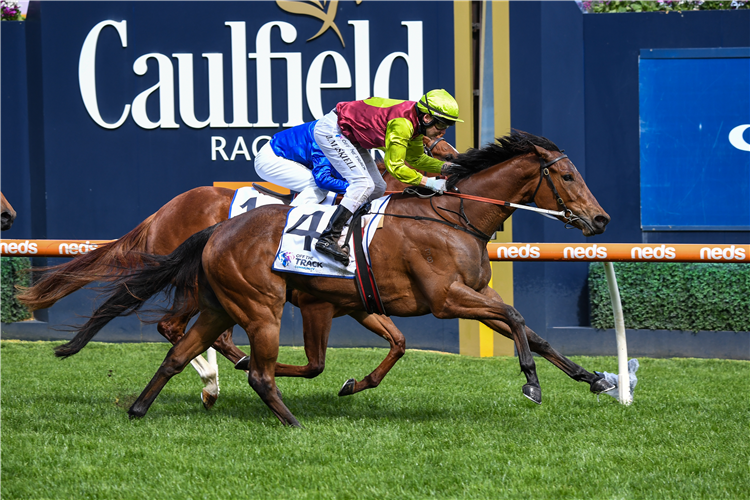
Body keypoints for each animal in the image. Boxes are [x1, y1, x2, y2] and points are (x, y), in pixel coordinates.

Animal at [61, 130, 612, 426]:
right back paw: (257, 395)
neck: (454, 216)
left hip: (220, 300)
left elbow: (533, 333)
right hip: (245, 302)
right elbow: (517, 319)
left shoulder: (446, 294)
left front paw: (596, 378)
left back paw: (162, 402)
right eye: (566, 176)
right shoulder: (447, 298)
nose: (600, 219)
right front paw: (532, 384)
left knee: (181, 347)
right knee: (208, 345)